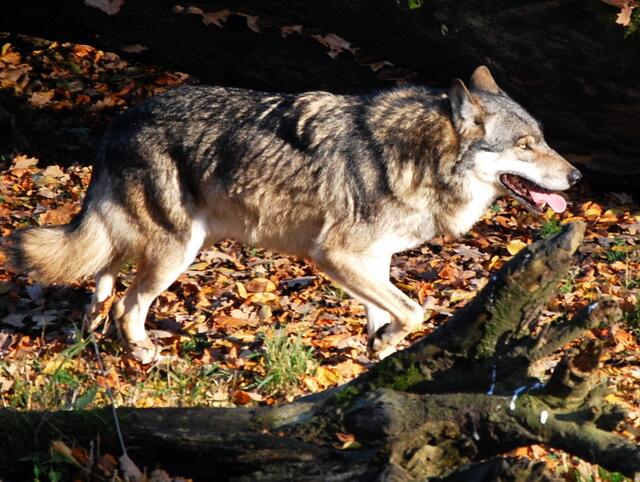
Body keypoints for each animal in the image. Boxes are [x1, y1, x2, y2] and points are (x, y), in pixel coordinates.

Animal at [7, 66, 581, 359]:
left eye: (543, 139)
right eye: (525, 146)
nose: (576, 178)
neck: (416, 158)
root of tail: (121, 119)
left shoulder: (373, 260)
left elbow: (388, 315)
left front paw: (377, 364)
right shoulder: (334, 256)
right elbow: (415, 311)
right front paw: (386, 345)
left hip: (165, 240)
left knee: (102, 279)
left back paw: (91, 332)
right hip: (178, 251)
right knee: (128, 305)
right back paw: (143, 354)